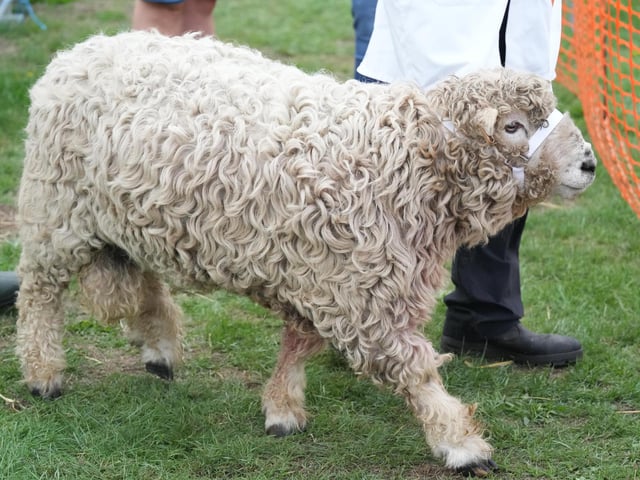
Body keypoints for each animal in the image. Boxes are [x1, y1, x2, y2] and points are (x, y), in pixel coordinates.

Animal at [15, 30, 596, 476]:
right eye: (512, 126)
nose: (589, 163)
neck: (403, 158)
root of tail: (78, 52)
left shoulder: (324, 269)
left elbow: (298, 343)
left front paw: (282, 408)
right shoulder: (361, 292)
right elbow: (415, 372)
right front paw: (461, 444)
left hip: (131, 212)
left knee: (145, 280)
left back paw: (158, 348)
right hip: (55, 211)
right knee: (39, 294)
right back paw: (44, 374)